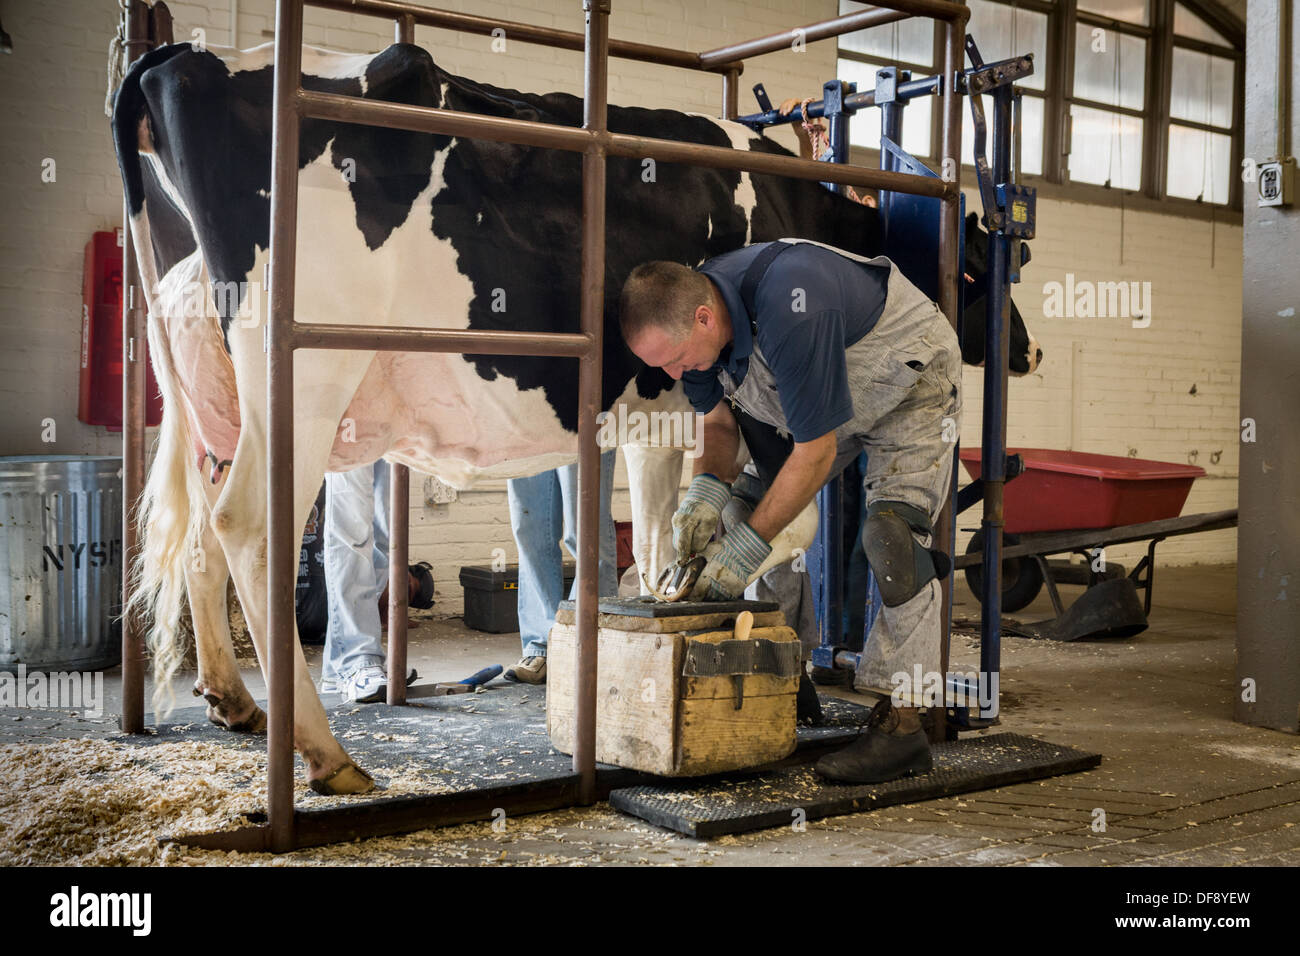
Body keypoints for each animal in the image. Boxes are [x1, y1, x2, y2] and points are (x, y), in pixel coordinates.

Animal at [116, 42, 1040, 790]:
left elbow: (671, 531)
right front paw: (784, 668)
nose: (1026, 353)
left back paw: (234, 703)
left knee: (199, 537)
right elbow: (784, 529)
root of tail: (180, 58)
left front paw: (681, 605)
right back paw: (326, 754)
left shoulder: (656, 412)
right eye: (982, 264)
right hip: (304, 376)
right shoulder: (746, 404)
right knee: (246, 527)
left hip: (208, 395)